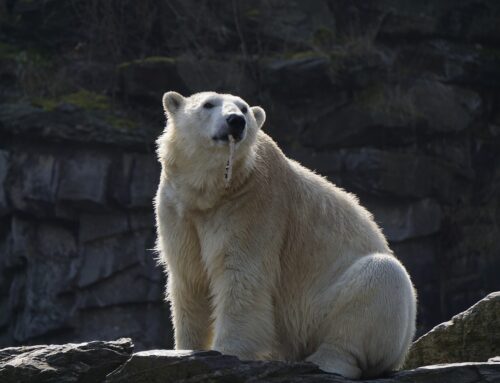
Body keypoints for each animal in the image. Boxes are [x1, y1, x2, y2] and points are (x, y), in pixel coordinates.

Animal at [153, 91, 418, 380]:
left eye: (244, 109)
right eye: (208, 104)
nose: (235, 121)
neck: (211, 192)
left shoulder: (253, 204)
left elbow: (241, 277)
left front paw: (227, 353)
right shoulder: (178, 209)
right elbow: (190, 278)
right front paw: (186, 350)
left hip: (323, 307)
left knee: (381, 278)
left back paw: (326, 360)